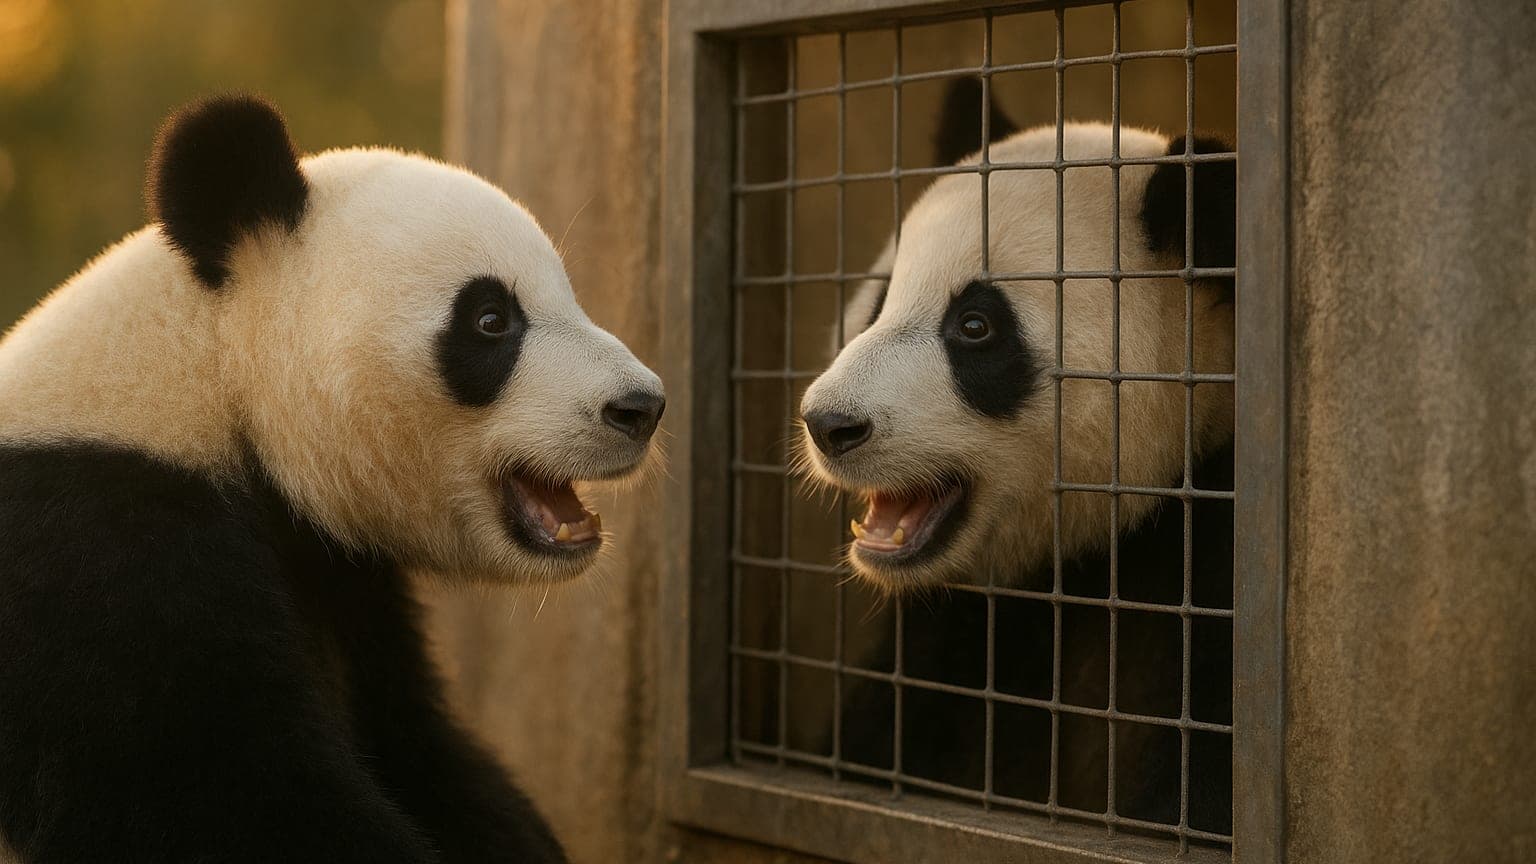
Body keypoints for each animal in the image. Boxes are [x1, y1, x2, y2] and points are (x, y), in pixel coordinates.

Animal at [0, 96, 664, 863]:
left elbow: (419, 748)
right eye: (491, 319)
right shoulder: (95, 559)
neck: (212, 372)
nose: (641, 407)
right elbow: (221, 799)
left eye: (569, 295)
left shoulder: (349, 587)